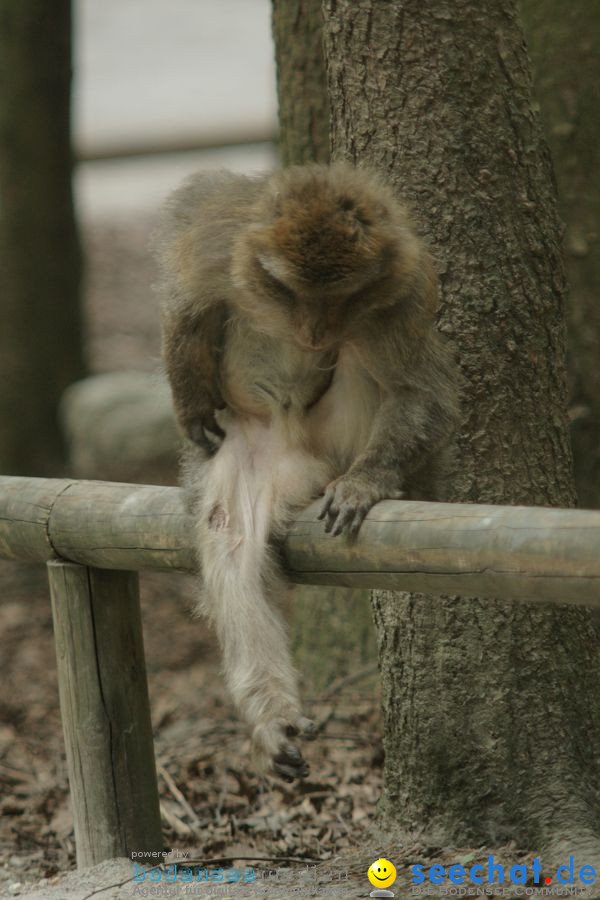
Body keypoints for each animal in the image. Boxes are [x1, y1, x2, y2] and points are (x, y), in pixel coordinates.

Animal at [152, 162, 458, 780]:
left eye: (340, 295)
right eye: (294, 291)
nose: (315, 335)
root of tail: (298, 446)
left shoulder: (404, 292)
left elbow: (420, 390)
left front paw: (368, 482)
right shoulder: (222, 233)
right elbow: (186, 296)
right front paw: (190, 401)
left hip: (337, 442)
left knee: (365, 355)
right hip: (254, 445)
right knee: (231, 534)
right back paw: (274, 715)